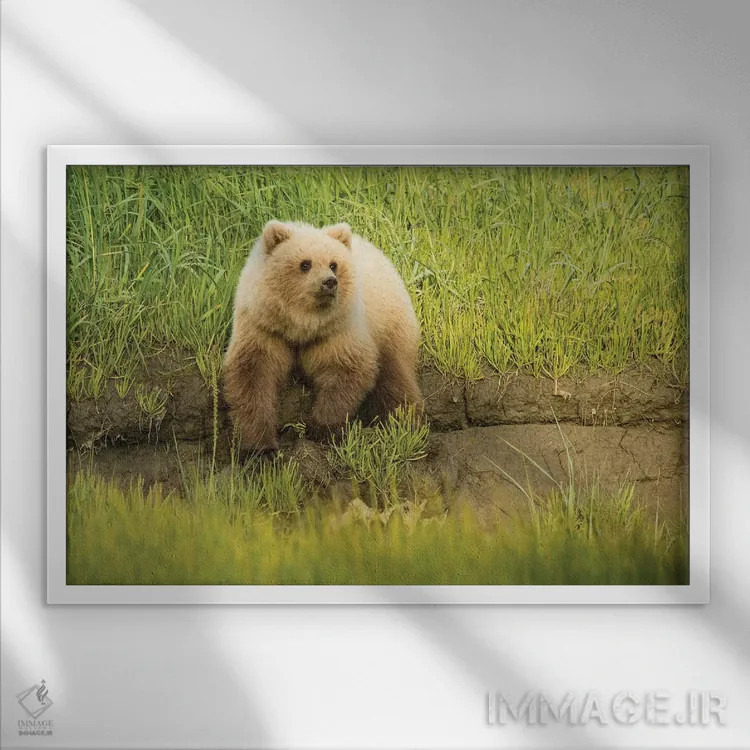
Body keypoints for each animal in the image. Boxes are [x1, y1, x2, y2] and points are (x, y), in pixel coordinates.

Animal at [223, 220, 422, 451]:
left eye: (333, 264)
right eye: (305, 264)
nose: (329, 282)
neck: (300, 326)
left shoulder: (336, 332)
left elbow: (346, 371)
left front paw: (320, 428)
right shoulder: (264, 329)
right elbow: (252, 375)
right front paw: (260, 445)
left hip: (389, 326)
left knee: (394, 379)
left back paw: (403, 422)